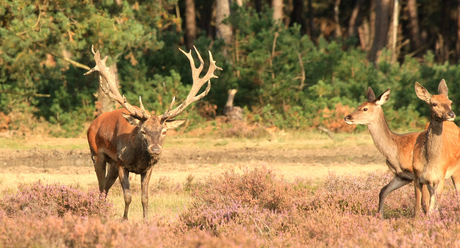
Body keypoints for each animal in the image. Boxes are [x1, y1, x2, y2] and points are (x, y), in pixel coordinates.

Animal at [86, 45, 223, 220]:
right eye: (143, 131)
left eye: (164, 131)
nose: (155, 149)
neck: (138, 158)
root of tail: (91, 124)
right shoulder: (122, 163)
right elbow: (128, 196)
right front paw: (124, 219)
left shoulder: (147, 168)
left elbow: (145, 197)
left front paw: (146, 220)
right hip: (97, 154)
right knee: (101, 187)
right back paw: (99, 212)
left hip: (113, 164)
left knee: (105, 188)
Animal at [344, 86, 430, 217]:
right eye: (359, 105)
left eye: (365, 108)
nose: (347, 117)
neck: (395, 151)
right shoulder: (402, 176)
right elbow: (383, 191)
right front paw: (380, 217)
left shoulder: (419, 173)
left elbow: (423, 202)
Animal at [412, 80, 460, 215]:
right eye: (434, 103)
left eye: (450, 102)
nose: (451, 114)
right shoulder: (418, 177)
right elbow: (419, 207)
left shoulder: (441, 178)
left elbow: (434, 208)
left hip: (456, 170)